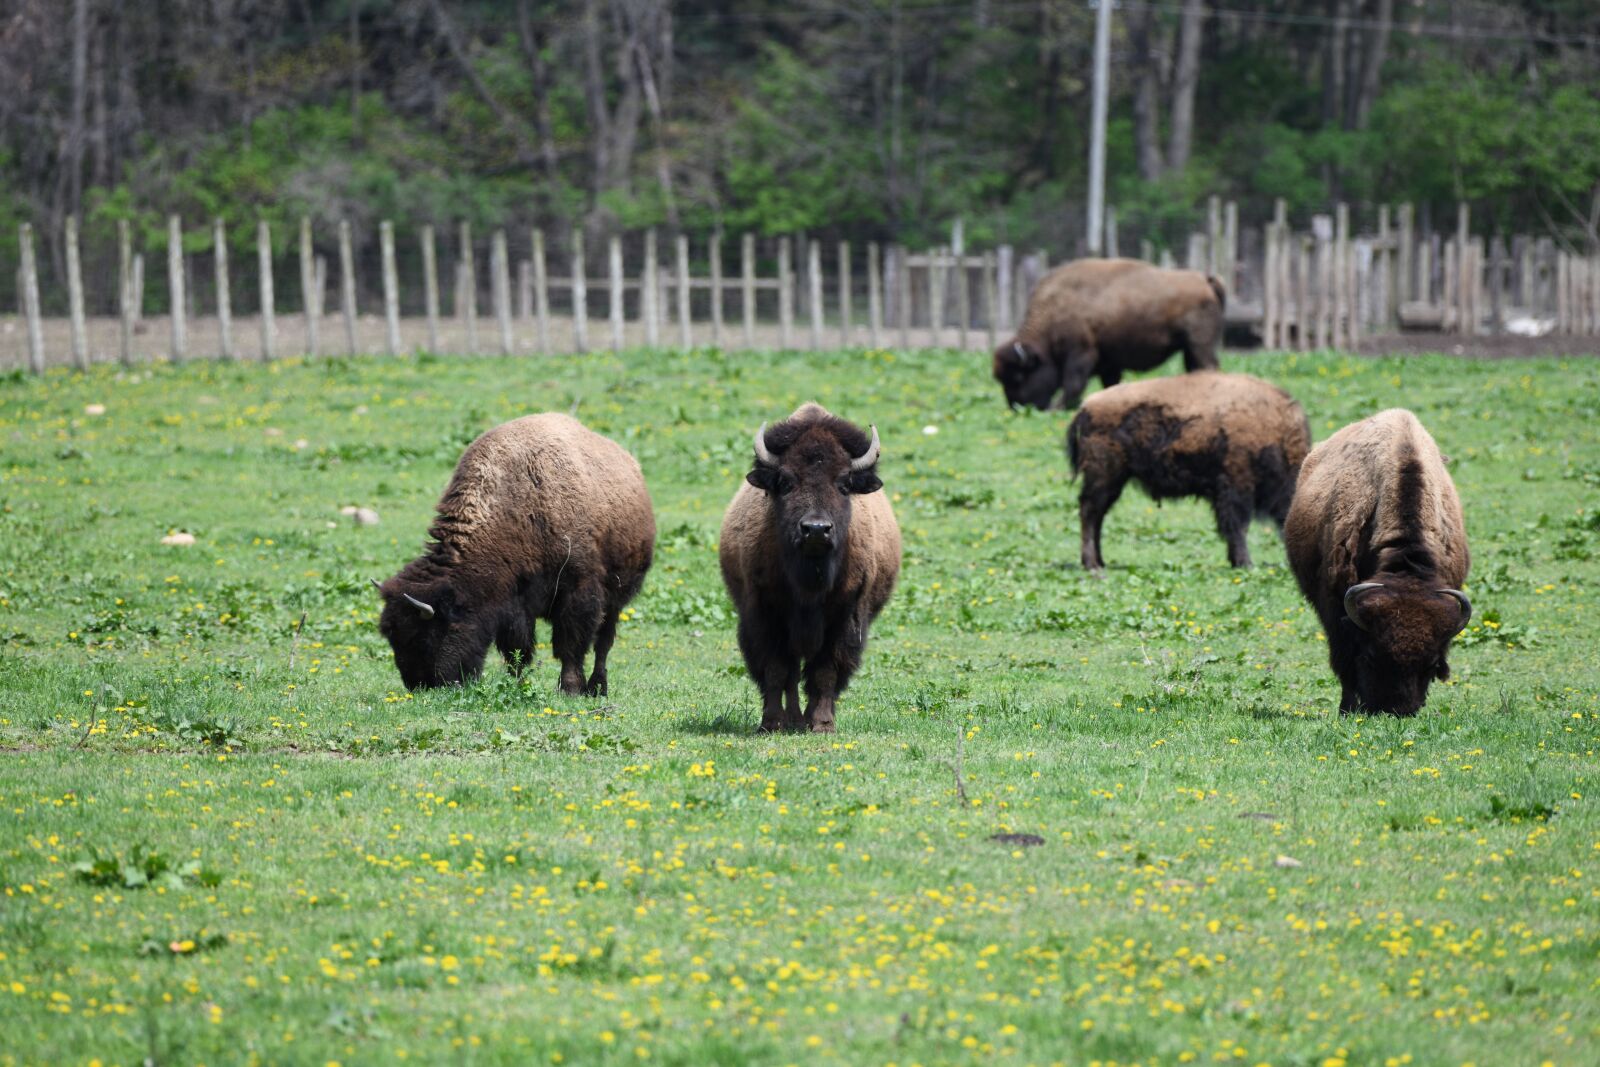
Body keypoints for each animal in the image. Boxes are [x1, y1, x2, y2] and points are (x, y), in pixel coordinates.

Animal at [374, 413, 655, 694]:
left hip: (617, 597)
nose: (420, 685)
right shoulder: (514, 605)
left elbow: (570, 646)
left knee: (603, 643)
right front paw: (517, 685)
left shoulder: (578, 592)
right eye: (391, 636)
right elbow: (517, 651)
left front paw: (570, 689)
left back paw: (597, 688)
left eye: (425, 635)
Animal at [719, 403, 901, 733]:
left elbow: (825, 672)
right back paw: (792, 719)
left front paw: (823, 724)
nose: (816, 530)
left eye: (844, 484)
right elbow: (777, 670)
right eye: (787, 481)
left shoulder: (844, 619)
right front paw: (772, 723)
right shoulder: (766, 616)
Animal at [993, 258, 1225, 411]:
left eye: (1018, 376)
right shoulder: (1109, 364)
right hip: (1189, 348)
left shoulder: (1081, 353)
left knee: (1208, 366)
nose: (1015, 407)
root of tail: (1204, 279)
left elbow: (1073, 383)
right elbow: (1110, 383)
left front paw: (1059, 408)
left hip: (1199, 343)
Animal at [1068, 371, 1311, 569]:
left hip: (1114, 480)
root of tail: (1085, 407)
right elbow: (1238, 526)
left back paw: (1100, 561)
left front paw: (1236, 561)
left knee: (1097, 514)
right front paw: (1245, 563)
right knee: (1090, 511)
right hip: (1104, 475)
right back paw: (1091, 564)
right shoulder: (1236, 485)